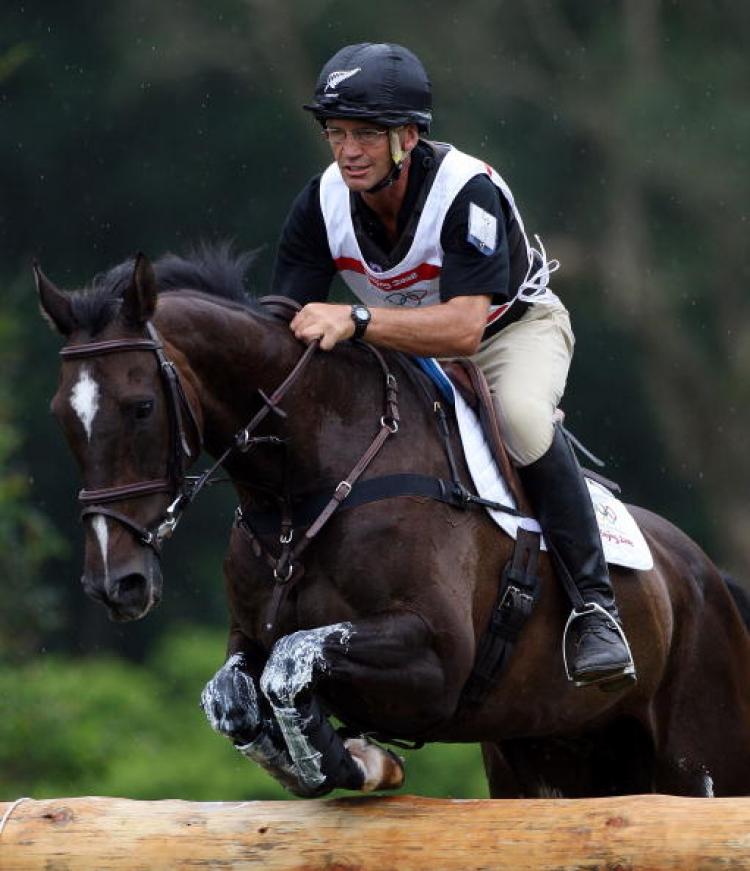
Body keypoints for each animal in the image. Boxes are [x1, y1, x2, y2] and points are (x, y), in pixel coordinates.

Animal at [36, 245, 750, 796]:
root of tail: (708, 577)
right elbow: (236, 698)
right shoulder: (247, 640)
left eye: (139, 407)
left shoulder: (436, 657)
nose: (116, 583)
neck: (300, 496)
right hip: (552, 753)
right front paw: (344, 760)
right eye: (61, 416)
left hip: (697, 760)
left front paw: (346, 755)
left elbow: (290, 664)